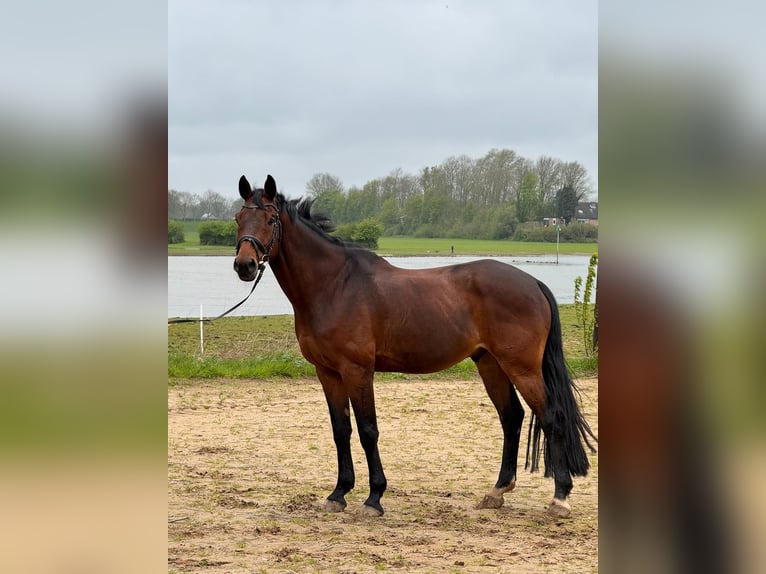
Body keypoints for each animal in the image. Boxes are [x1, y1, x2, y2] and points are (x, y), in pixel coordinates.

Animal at [234, 174, 600, 516]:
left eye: (270, 220)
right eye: (238, 217)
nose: (244, 265)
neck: (335, 285)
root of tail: (533, 283)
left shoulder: (357, 370)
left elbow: (368, 430)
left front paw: (374, 497)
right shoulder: (327, 372)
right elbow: (341, 430)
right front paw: (339, 493)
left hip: (522, 367)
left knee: (551, 416)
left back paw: (560, 498)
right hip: (490, 363)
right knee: (511, 417)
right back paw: (497, 492)